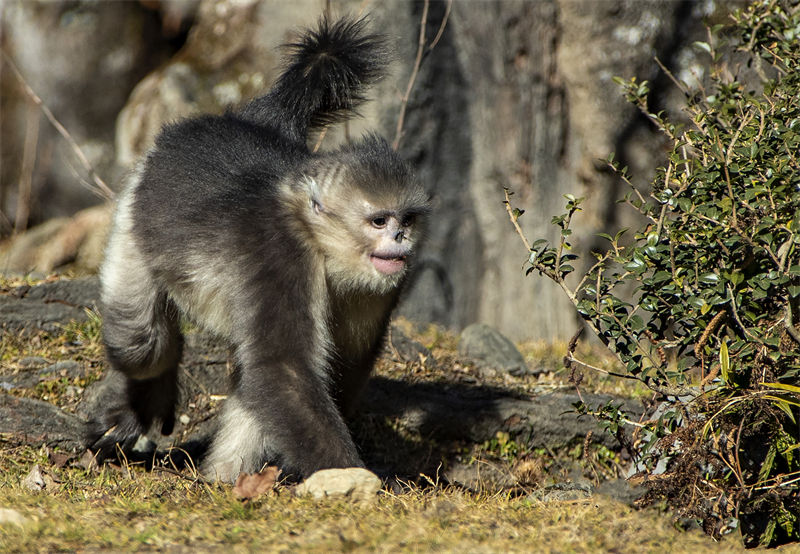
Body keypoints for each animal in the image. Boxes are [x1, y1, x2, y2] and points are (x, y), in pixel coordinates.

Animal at [87, 17, 432, 480]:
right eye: (380, 221)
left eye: (406, 220)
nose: (399, 241)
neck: (315, 239)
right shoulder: (280, 253)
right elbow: (281, 368)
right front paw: (351, 476)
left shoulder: (379, 285)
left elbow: (327, 367)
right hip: (131, 216)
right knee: (141, 343)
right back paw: (148, 390)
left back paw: (220, 476)